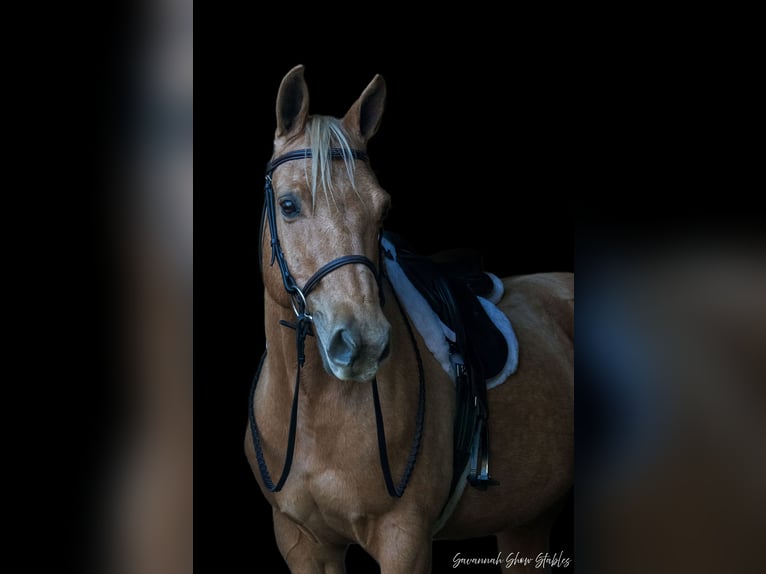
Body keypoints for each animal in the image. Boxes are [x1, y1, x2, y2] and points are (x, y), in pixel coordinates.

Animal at [246, 65, 576, 572]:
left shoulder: (405, 539)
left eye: (382, 209)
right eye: (288, 204)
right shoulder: (301, 542)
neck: (318, 413)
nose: (363, 341)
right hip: (528, 521)